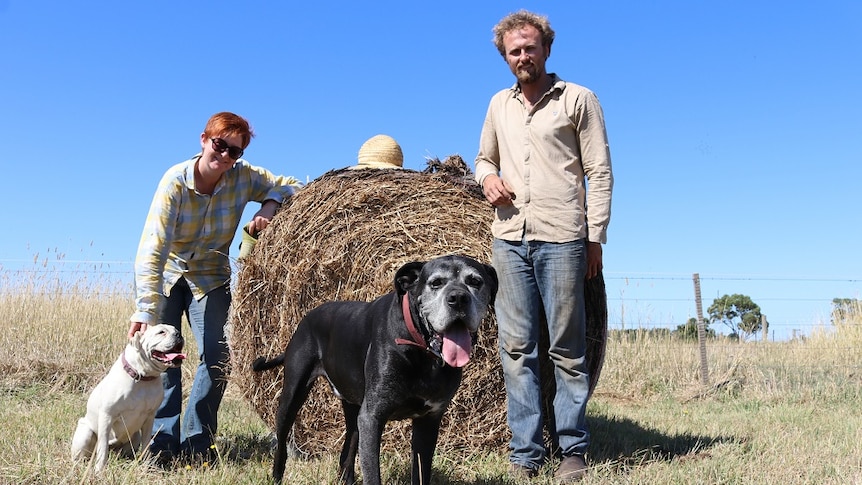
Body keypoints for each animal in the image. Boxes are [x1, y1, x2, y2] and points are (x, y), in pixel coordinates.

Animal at [71, 324, 186, 470]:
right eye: (161, 332)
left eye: (176, 330)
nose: (179, 334)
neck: (143, 377)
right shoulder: (107, 416)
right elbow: (102, 448)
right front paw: (99, 470)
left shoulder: (149, 418)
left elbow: (146, 445)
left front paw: (147, 466)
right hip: (85, 433)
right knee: (85, 454)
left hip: (134, 437)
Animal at [253, 255, 500, 482]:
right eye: (436, 282)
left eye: (475, 281)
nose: (458, 298)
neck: (421, 349)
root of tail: (307, 316)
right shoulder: (372, 417)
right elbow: (373, 474)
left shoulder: (428, 420)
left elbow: (421, 472)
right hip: (293, 393)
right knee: (282, 440)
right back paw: (276, 475)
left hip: (353, 408)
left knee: (347, 451)